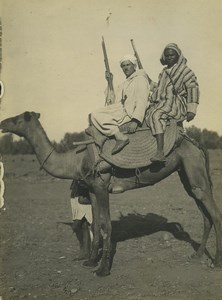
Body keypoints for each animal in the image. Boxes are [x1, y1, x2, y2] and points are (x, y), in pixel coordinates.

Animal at [0, 110, 222, 276]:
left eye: (17, 119)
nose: (2, 122)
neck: (75, 160)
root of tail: (195, 142)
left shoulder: (101, 186)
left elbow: (106, 225)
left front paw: (103, 268)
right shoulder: (91, 189)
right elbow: (95, 224)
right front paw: (90, 261)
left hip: (194, 169)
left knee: (214, 214)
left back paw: (216, 262)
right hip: (186, 175)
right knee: (204, 213)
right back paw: (197, 255)